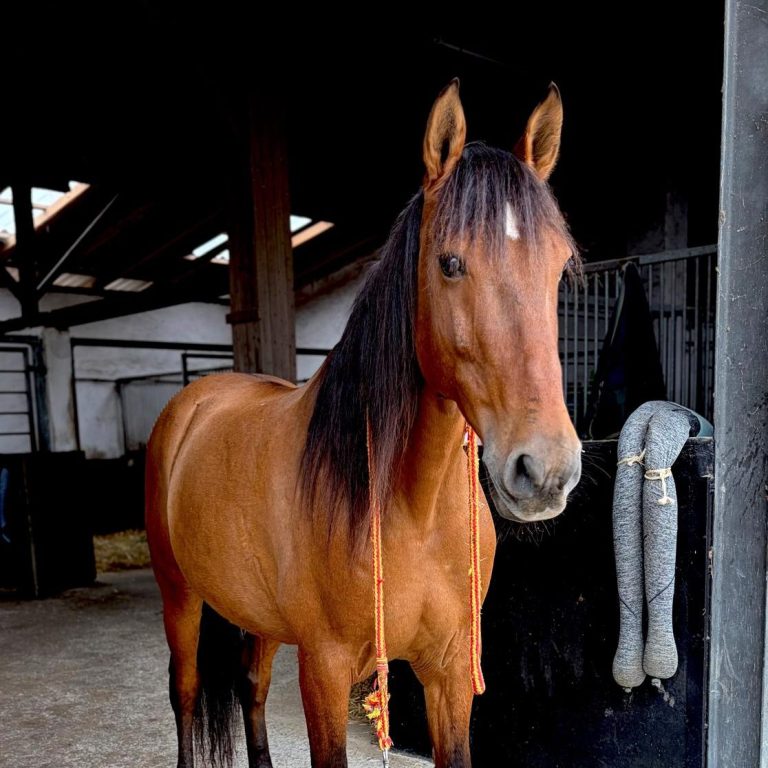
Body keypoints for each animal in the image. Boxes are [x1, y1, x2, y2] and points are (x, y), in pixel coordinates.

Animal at [145, 79, 582, 768]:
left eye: (559, 268)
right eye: (450, 263)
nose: (544, 471)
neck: (412, 509)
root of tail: (197, 401)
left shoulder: (449, 673)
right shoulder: (324, 671)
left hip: (258, 619)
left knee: (250, 686)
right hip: (180, 598)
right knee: (186, 695)